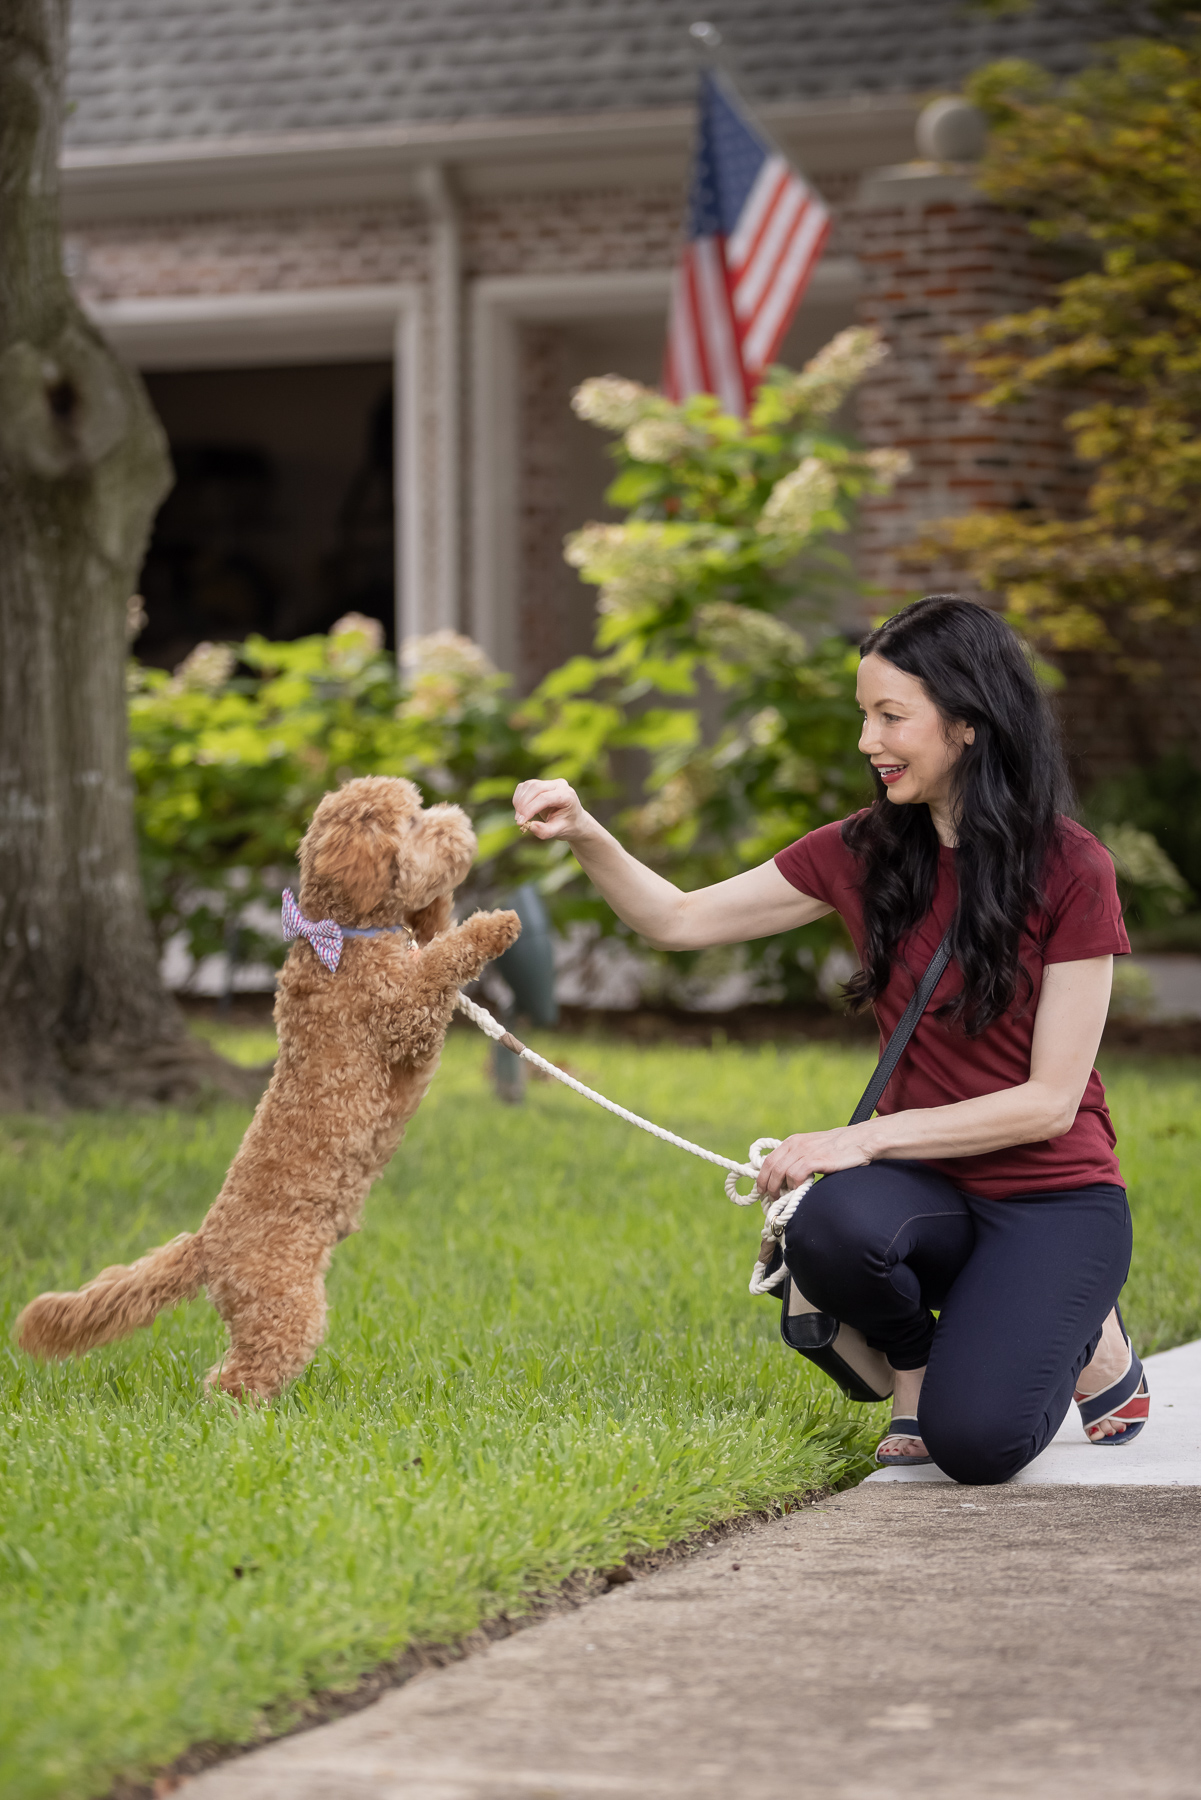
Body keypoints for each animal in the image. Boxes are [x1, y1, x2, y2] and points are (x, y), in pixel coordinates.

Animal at [12, 774, 522, 1389]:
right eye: (414, 822)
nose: (459, 819)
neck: (348, 932)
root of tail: (206, 1245)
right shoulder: (403, 1016)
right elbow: (442, 960)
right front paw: (494, 924)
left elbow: (436, 934)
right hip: (285, 1306)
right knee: (234, 1381)